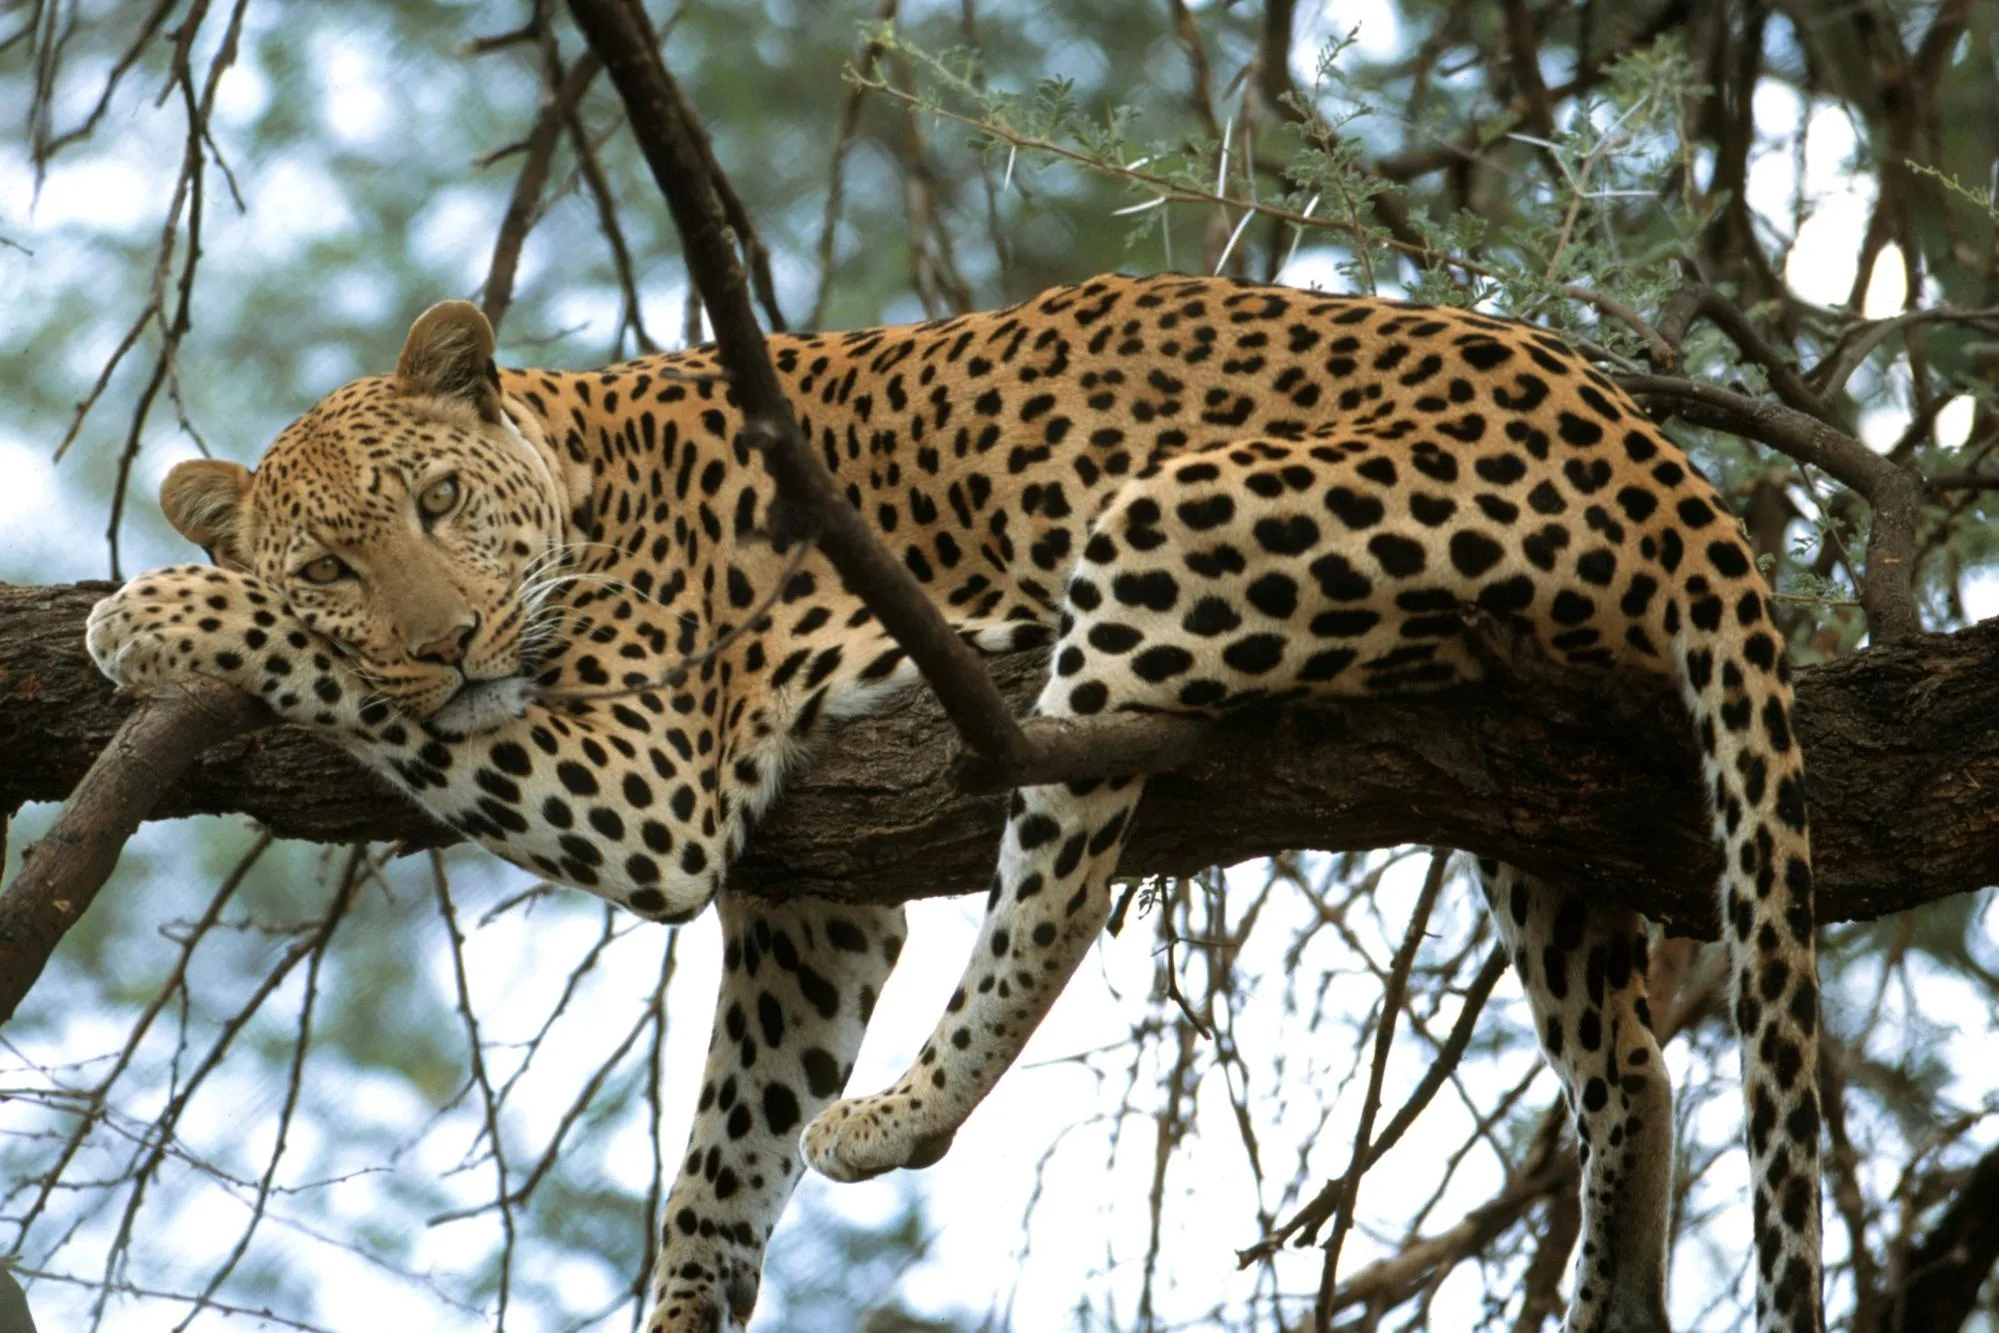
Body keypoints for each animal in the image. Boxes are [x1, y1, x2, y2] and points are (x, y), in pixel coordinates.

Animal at [86, 272, 1823, 1333]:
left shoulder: (651, 783)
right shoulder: (808, 905)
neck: (578, 466)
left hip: (1162, 528)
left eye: (440, 504)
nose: (445, 643)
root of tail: (1657, 453)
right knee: (1629, 1065)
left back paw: (898, 1113)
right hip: (1534, 806)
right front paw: (690, 1296)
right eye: (331, 563)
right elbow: (722, 1153)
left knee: (1059, 882)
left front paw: (156, 613)